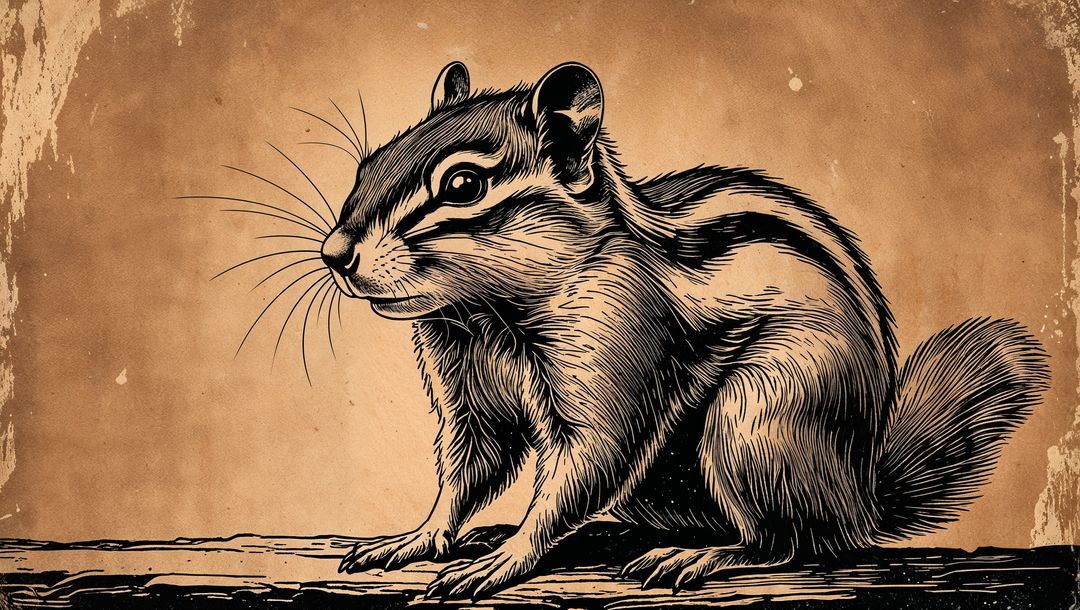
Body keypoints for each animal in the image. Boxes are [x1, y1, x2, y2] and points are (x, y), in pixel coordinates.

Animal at [321, 61, 1050, 599]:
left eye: (464, 185)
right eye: (369, 165)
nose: (335, 253)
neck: (487, 314)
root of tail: (863, 494)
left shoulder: (619, 347)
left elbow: (587, 463)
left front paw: (506, 557)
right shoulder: (468, 393)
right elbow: (468, 471)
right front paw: (416, 537)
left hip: (757, 423)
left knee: (794, 542)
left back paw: (702, 557)